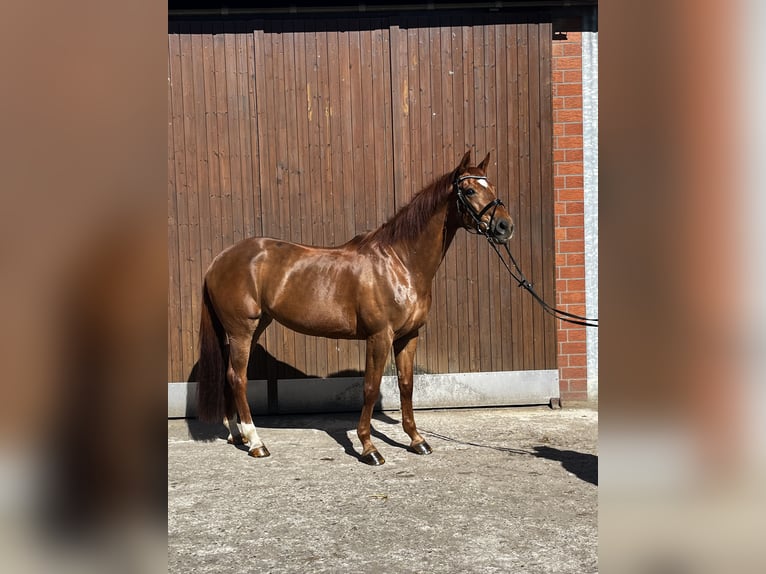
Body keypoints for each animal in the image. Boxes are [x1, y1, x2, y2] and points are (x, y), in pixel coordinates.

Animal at [195, 150, 514, 465]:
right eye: (470, 190)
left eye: (493, 187)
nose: (505, 226)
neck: (400, 263)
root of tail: (219, 260)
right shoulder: (379, 336)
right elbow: (371, 388)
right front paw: (369, 448)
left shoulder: (408, 337)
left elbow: (406, 386)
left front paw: (416, 440)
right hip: (242, 330)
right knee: (238, 377)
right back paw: (256, 443)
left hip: (252, 328)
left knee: (230, 375)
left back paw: (237, 435)